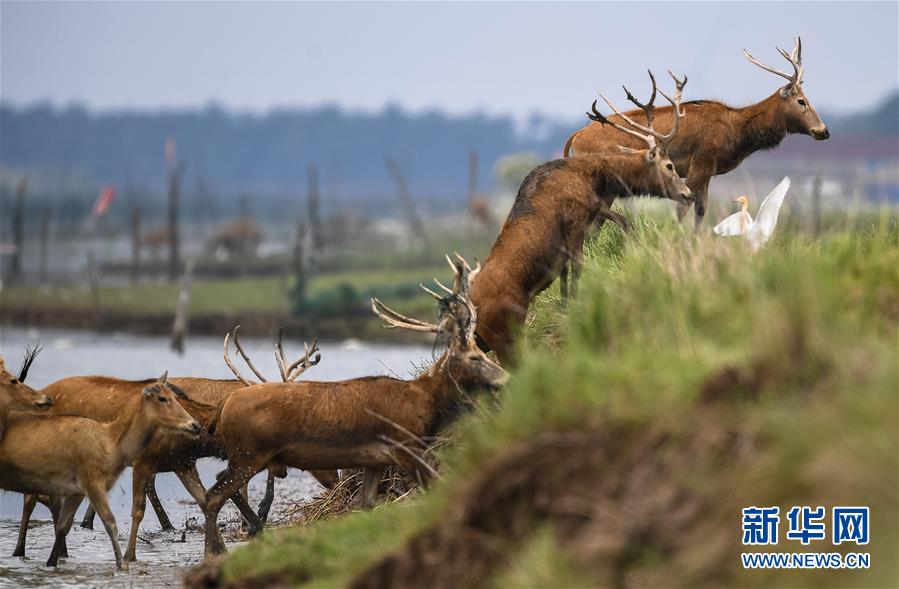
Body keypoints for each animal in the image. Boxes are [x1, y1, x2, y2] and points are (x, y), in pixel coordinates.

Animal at [204, 255, 510, 552]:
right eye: (475, 357)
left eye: (481, 352)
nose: (505, 377)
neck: (423, 404)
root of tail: (224, 405)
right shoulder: (404, 445)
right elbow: (435, 485)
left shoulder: (375, 460)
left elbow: (366, 505)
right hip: (249, 453)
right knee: (213, 496)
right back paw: (218, 550)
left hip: (246, 455)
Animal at [474, 71, 692, 360]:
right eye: (669, 166)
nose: (688, 193)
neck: (596, 178)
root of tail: (470, 310)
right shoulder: (576, 223)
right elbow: (579, 264)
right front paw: (573, 306)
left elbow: (569, 268)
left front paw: (564, 304)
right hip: (506, 335)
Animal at [568, 38, 832, 229]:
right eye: (801, 101)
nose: (823, 131)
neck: (738, 132)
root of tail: (575, 137)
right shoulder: (700, 165)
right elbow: (683, 209)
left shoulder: (708, 172)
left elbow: (701, 210)